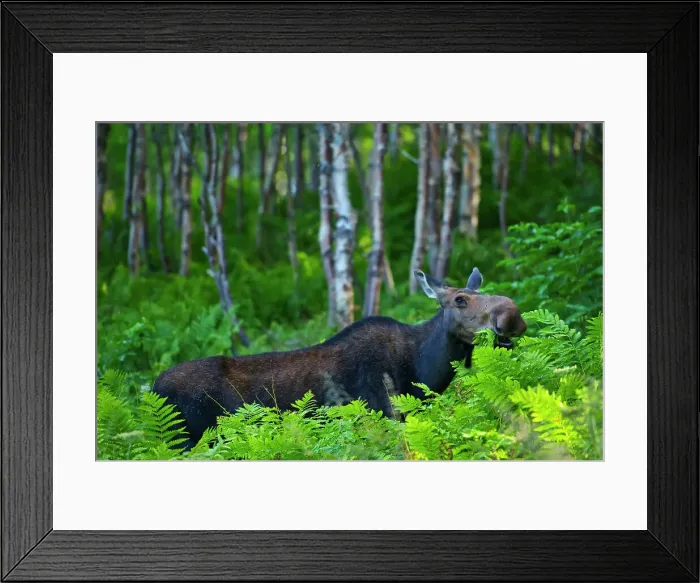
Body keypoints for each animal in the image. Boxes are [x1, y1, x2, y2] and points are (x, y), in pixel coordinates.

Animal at [152, 268, 527, 448]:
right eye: (460, 300)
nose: (512, 315)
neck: (421, 369)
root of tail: (152, 388)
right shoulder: (382, 414)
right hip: (187, 439)